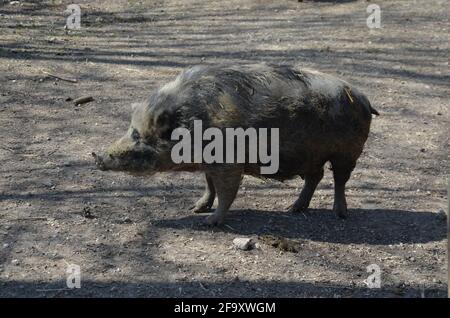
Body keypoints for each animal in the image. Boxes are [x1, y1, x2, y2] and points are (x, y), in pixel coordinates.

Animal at [93, 63, 378, 225]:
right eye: (131, 130)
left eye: (138, 136)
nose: (97, 156)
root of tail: (363, 97)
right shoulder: (208, 163)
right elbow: (209, 187)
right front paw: (195, 209)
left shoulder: (228, 162)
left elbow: (226, 192)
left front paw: (209, 222)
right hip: (311, 154)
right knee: (315, 177)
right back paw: (292, 210)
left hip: (348, 151)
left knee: (339, 180)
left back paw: (339, 214)